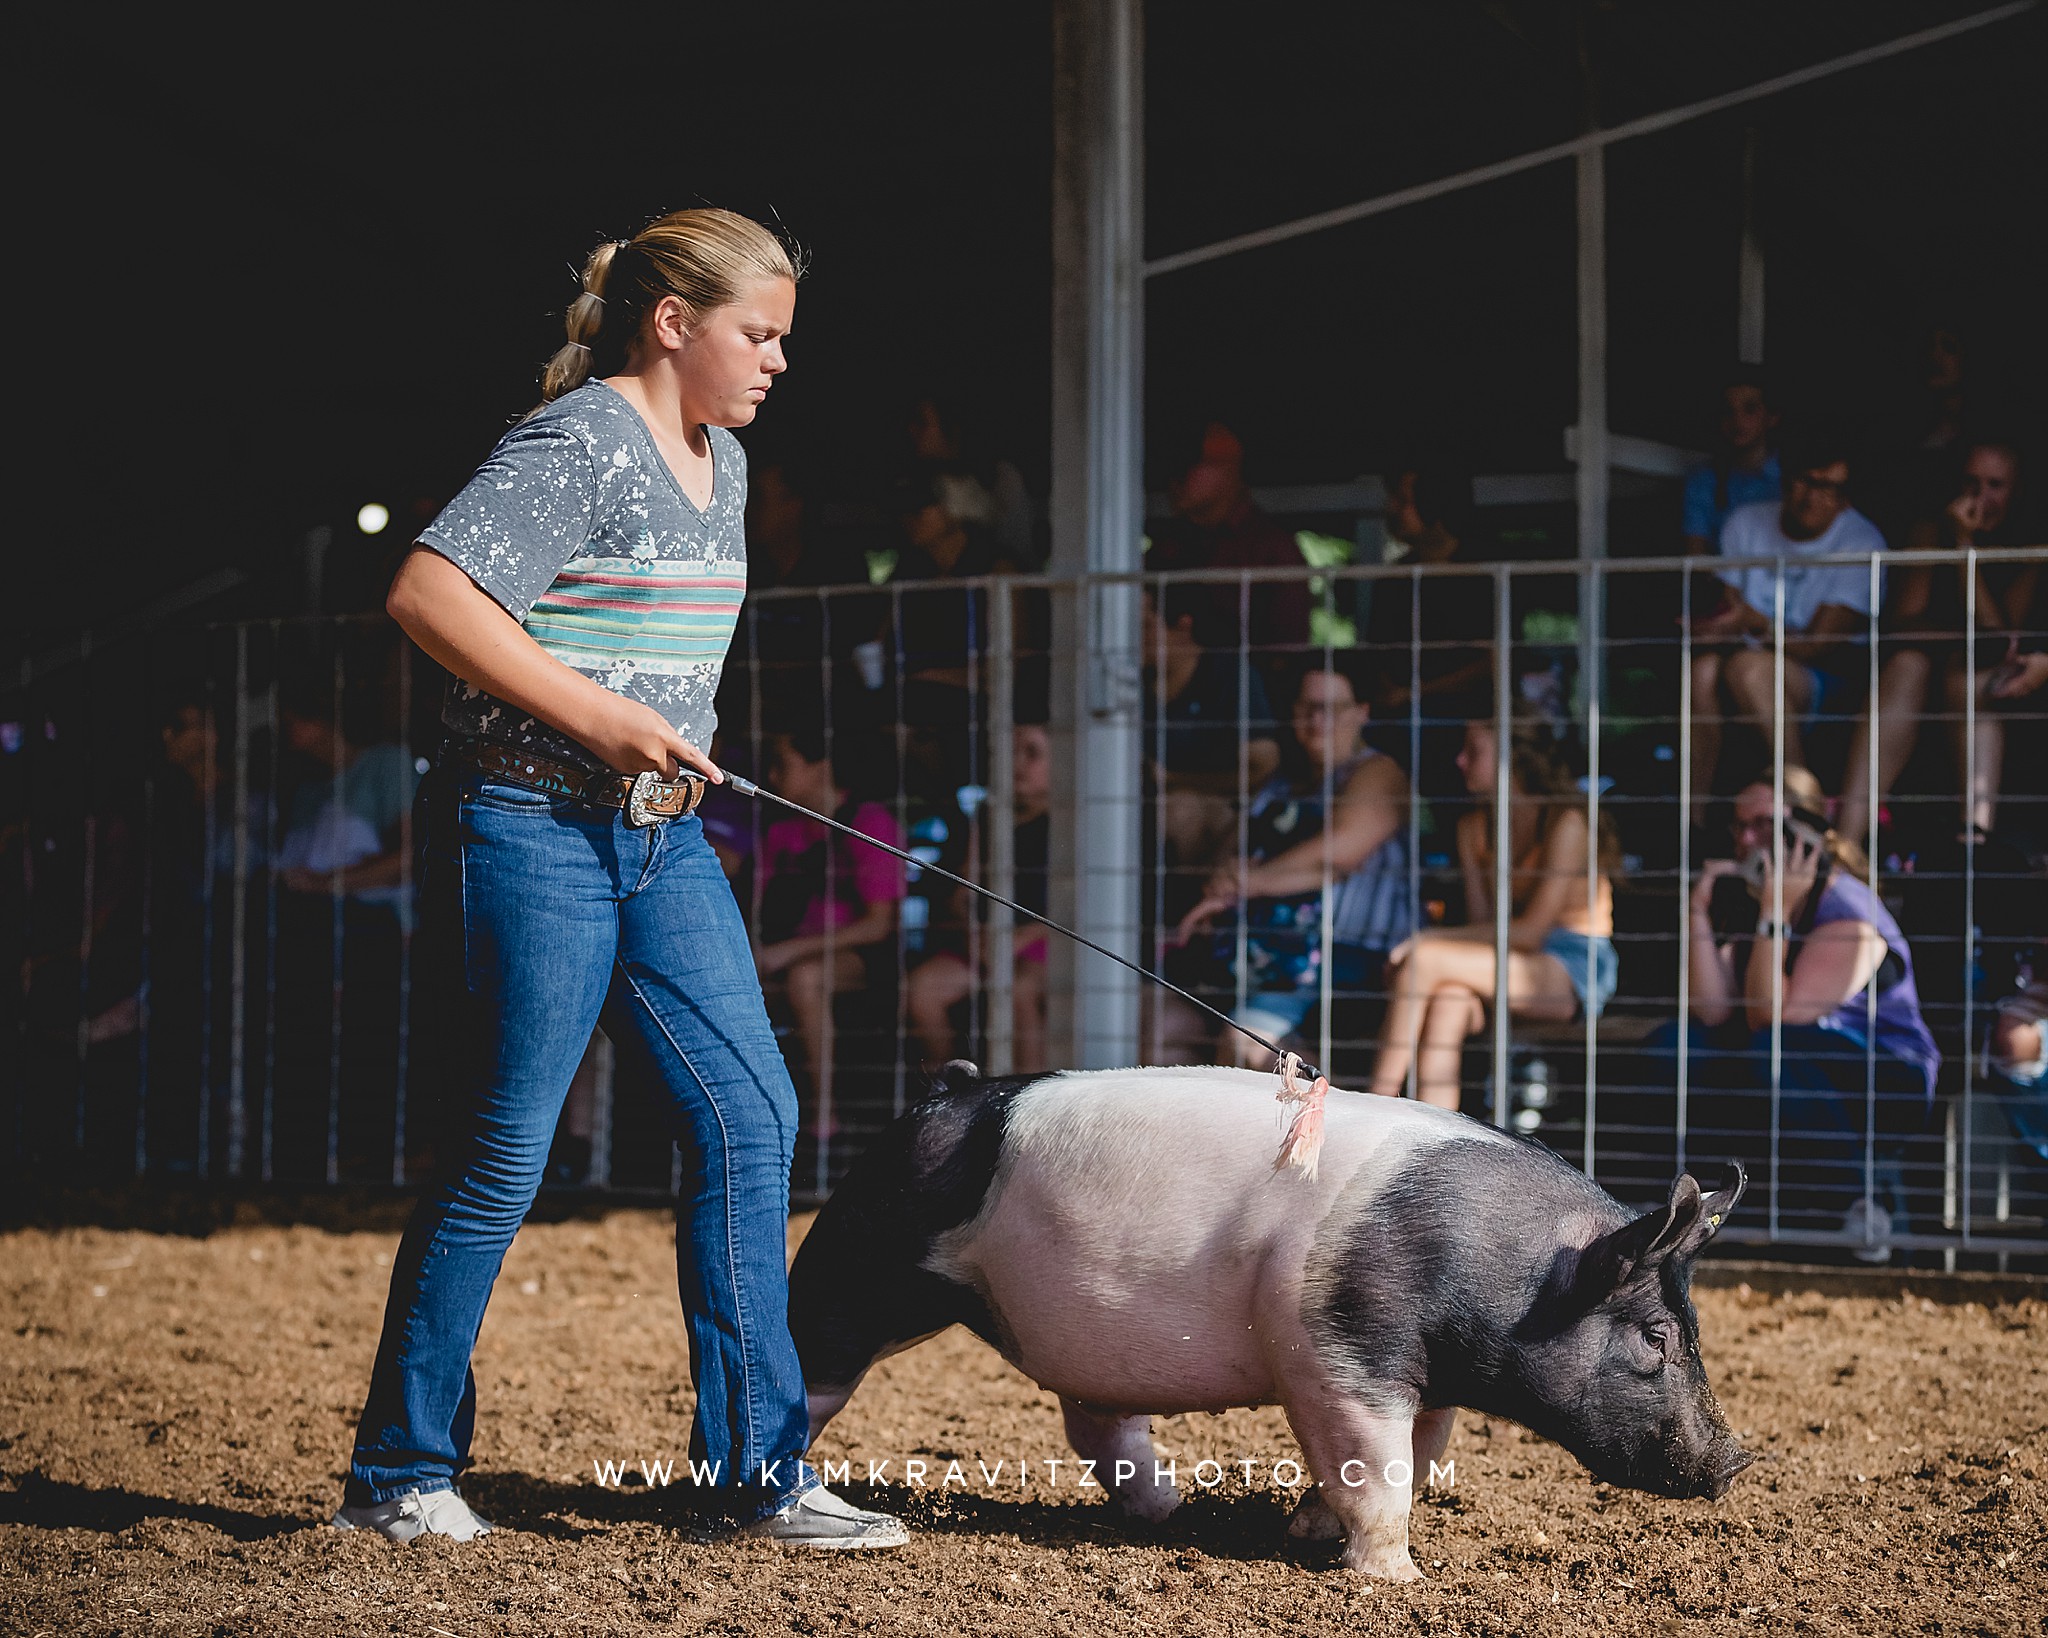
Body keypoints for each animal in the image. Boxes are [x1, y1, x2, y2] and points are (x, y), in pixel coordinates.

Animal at [790, 1056, 1753, 1580]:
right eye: (1656, 1338)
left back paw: (1168, 1514)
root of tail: (944, 1092)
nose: (1739, 1459)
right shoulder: (1336, 1350)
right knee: (811, 1364)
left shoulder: (1428, 1375)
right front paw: (1396, 1579)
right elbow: (1378, 1465)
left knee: (1100, 1425)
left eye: (1692, 1331)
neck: (1507, 1279)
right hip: (858, 1262)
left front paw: (1306, 1533)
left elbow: (1420, 1453)